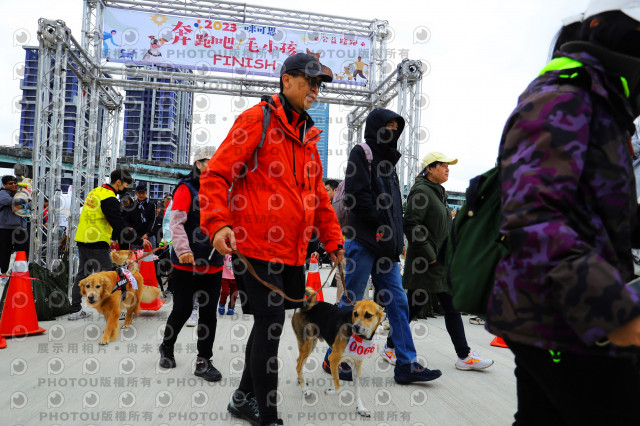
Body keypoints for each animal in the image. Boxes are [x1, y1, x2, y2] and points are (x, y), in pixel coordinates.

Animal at [292, 288, 382, 418]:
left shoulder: (356, 367)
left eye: (368, 315)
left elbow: (358, 391)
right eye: (355, 313)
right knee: (298, 365)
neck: (360, 337)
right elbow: (338, 387)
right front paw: (329, 391)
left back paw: (301, 381)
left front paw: (360, 408)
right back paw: (305, 389)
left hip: (310, 344)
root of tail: (304, 306)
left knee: (299, 362)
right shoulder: (333, 359)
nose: (355, 327)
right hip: (308, 344)